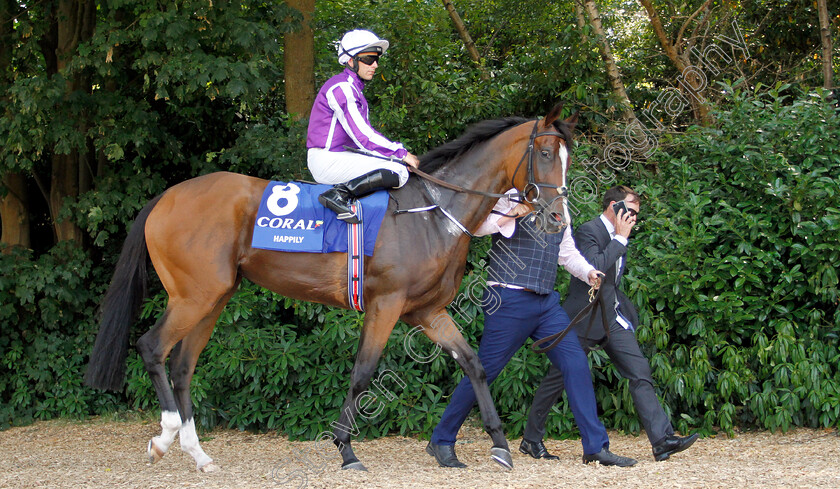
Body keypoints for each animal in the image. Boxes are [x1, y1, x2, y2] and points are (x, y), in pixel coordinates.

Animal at [85, 104, 580, 472]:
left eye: (565, 157)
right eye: (545, 153)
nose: (559, 218)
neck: (435, 213)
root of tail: (168, 196)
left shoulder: (428, 312)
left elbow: (475, 365)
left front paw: (499, 445)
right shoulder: (386, 305)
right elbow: (363, 372)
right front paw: (346, 450)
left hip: (213, 299)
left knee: (183, 366)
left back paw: (198, 453)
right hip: (194, 296)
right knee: (152, 347)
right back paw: (164, 437)